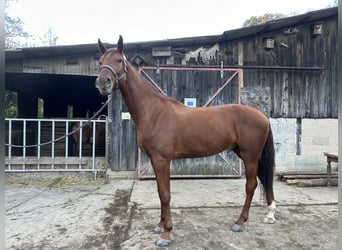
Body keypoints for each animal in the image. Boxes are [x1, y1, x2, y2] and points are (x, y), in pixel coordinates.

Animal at [95, 36, 276, 247]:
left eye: (118, 60)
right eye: (100, 62)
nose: (102, 83)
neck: (153, 112)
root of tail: (262, 116)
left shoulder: (162, 159)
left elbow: (165, 195)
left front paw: (166, 234)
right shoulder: (155, 160)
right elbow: (160, 192)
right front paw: (160, 225)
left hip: (250, 156)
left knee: (251, 185)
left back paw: (240, 222)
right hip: (247, 154)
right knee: (263, 178)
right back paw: (269, 214)